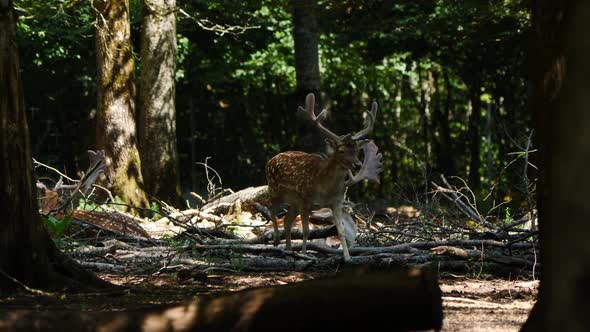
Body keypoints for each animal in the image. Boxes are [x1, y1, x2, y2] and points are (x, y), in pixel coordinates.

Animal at [268, 93, 384, 262]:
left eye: (357, 150)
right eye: (341, 150)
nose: (357, 164)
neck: (324, 187)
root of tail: (271, 160)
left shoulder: (336, 202)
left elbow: (341, 231)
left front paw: (347, 257)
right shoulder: (306, 200)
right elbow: (306, 230)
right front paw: (305, 255)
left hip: (294, 202)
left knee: (287, 220)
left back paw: (288, 250)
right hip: (275, 189)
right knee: (271, 208)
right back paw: (277, 240)